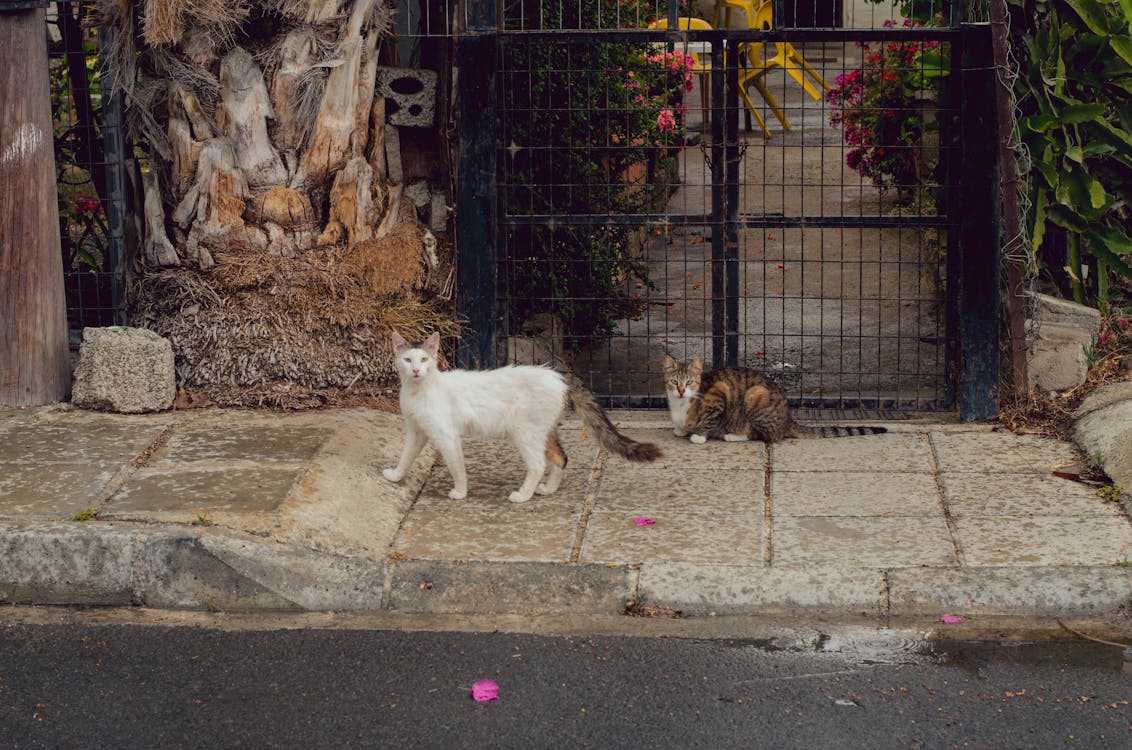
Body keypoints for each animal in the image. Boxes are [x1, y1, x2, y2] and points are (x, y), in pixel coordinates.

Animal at [382, 332, 661, 504]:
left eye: (424, 359)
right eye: (407, 359)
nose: (416, 370)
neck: (419, 389)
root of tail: (558, 376)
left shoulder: (446, 435)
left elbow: (456, 466)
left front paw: (460, 492)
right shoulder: (416, 430)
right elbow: (406, 456)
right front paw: (395, 476)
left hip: (525, 432)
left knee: (538, 465)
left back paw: (523, 495)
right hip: (544, 431)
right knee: (561, 458)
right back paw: (548, 489)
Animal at [661, 355, 887, 443]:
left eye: (690, 382)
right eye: (674, 381)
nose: (681, 391)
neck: (680, 405)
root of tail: (787, 418)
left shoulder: (719, 395)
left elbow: (709, 420)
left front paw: (699, 435)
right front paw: (681, 429)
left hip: (755, 395)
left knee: (766, 436)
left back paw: (733, 435)